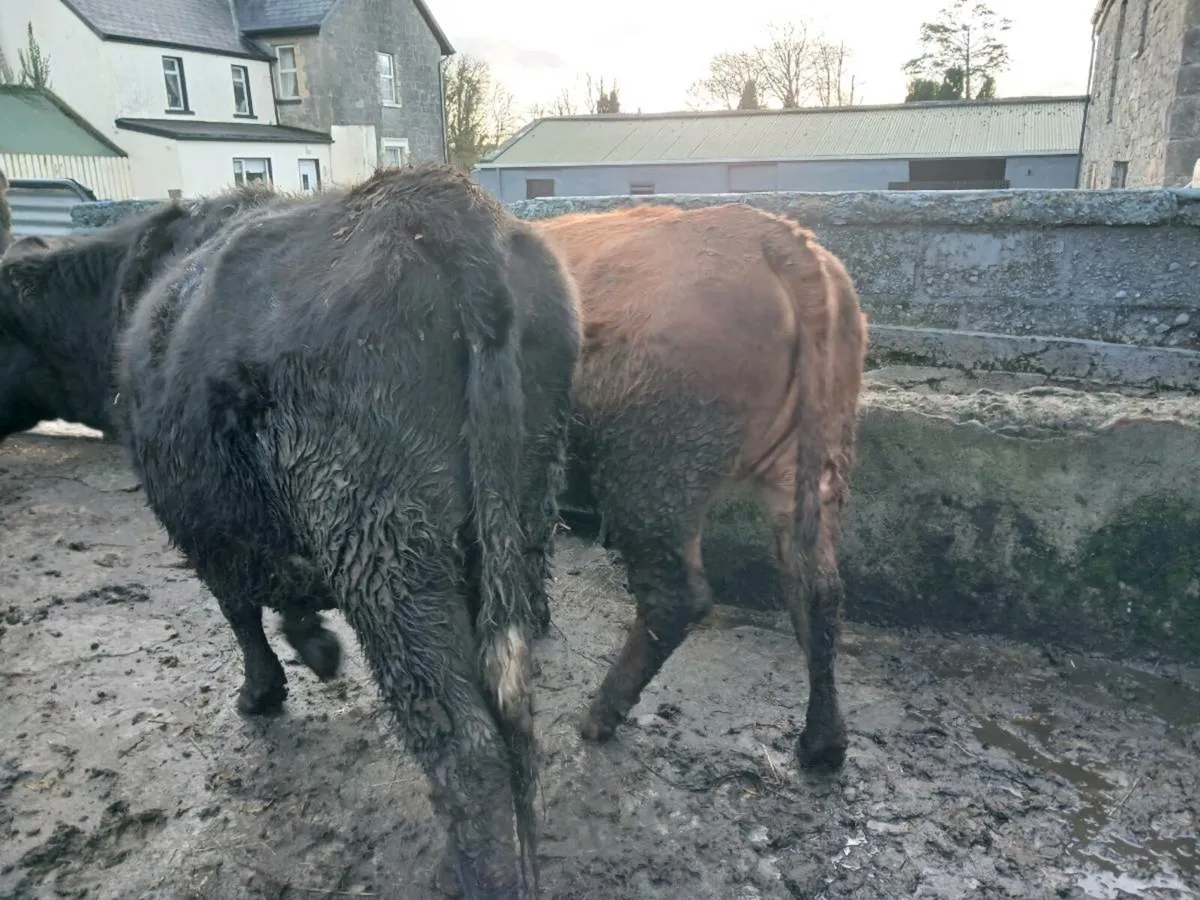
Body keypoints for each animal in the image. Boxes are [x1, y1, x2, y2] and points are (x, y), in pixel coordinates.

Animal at [0, 164, 583, 899]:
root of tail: (438, 204)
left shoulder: (202, 520)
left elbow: (242, 610)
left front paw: (268, 686)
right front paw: (314, 644)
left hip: (384, 547)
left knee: (465, 745)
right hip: (523, 514)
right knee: (517, 723)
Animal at [533, 202, 868, 771]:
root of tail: (778, 237)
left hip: (654, 470)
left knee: (676, 598)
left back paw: (599, 716)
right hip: (812, 463)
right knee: (818, 590)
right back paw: (822, 743)